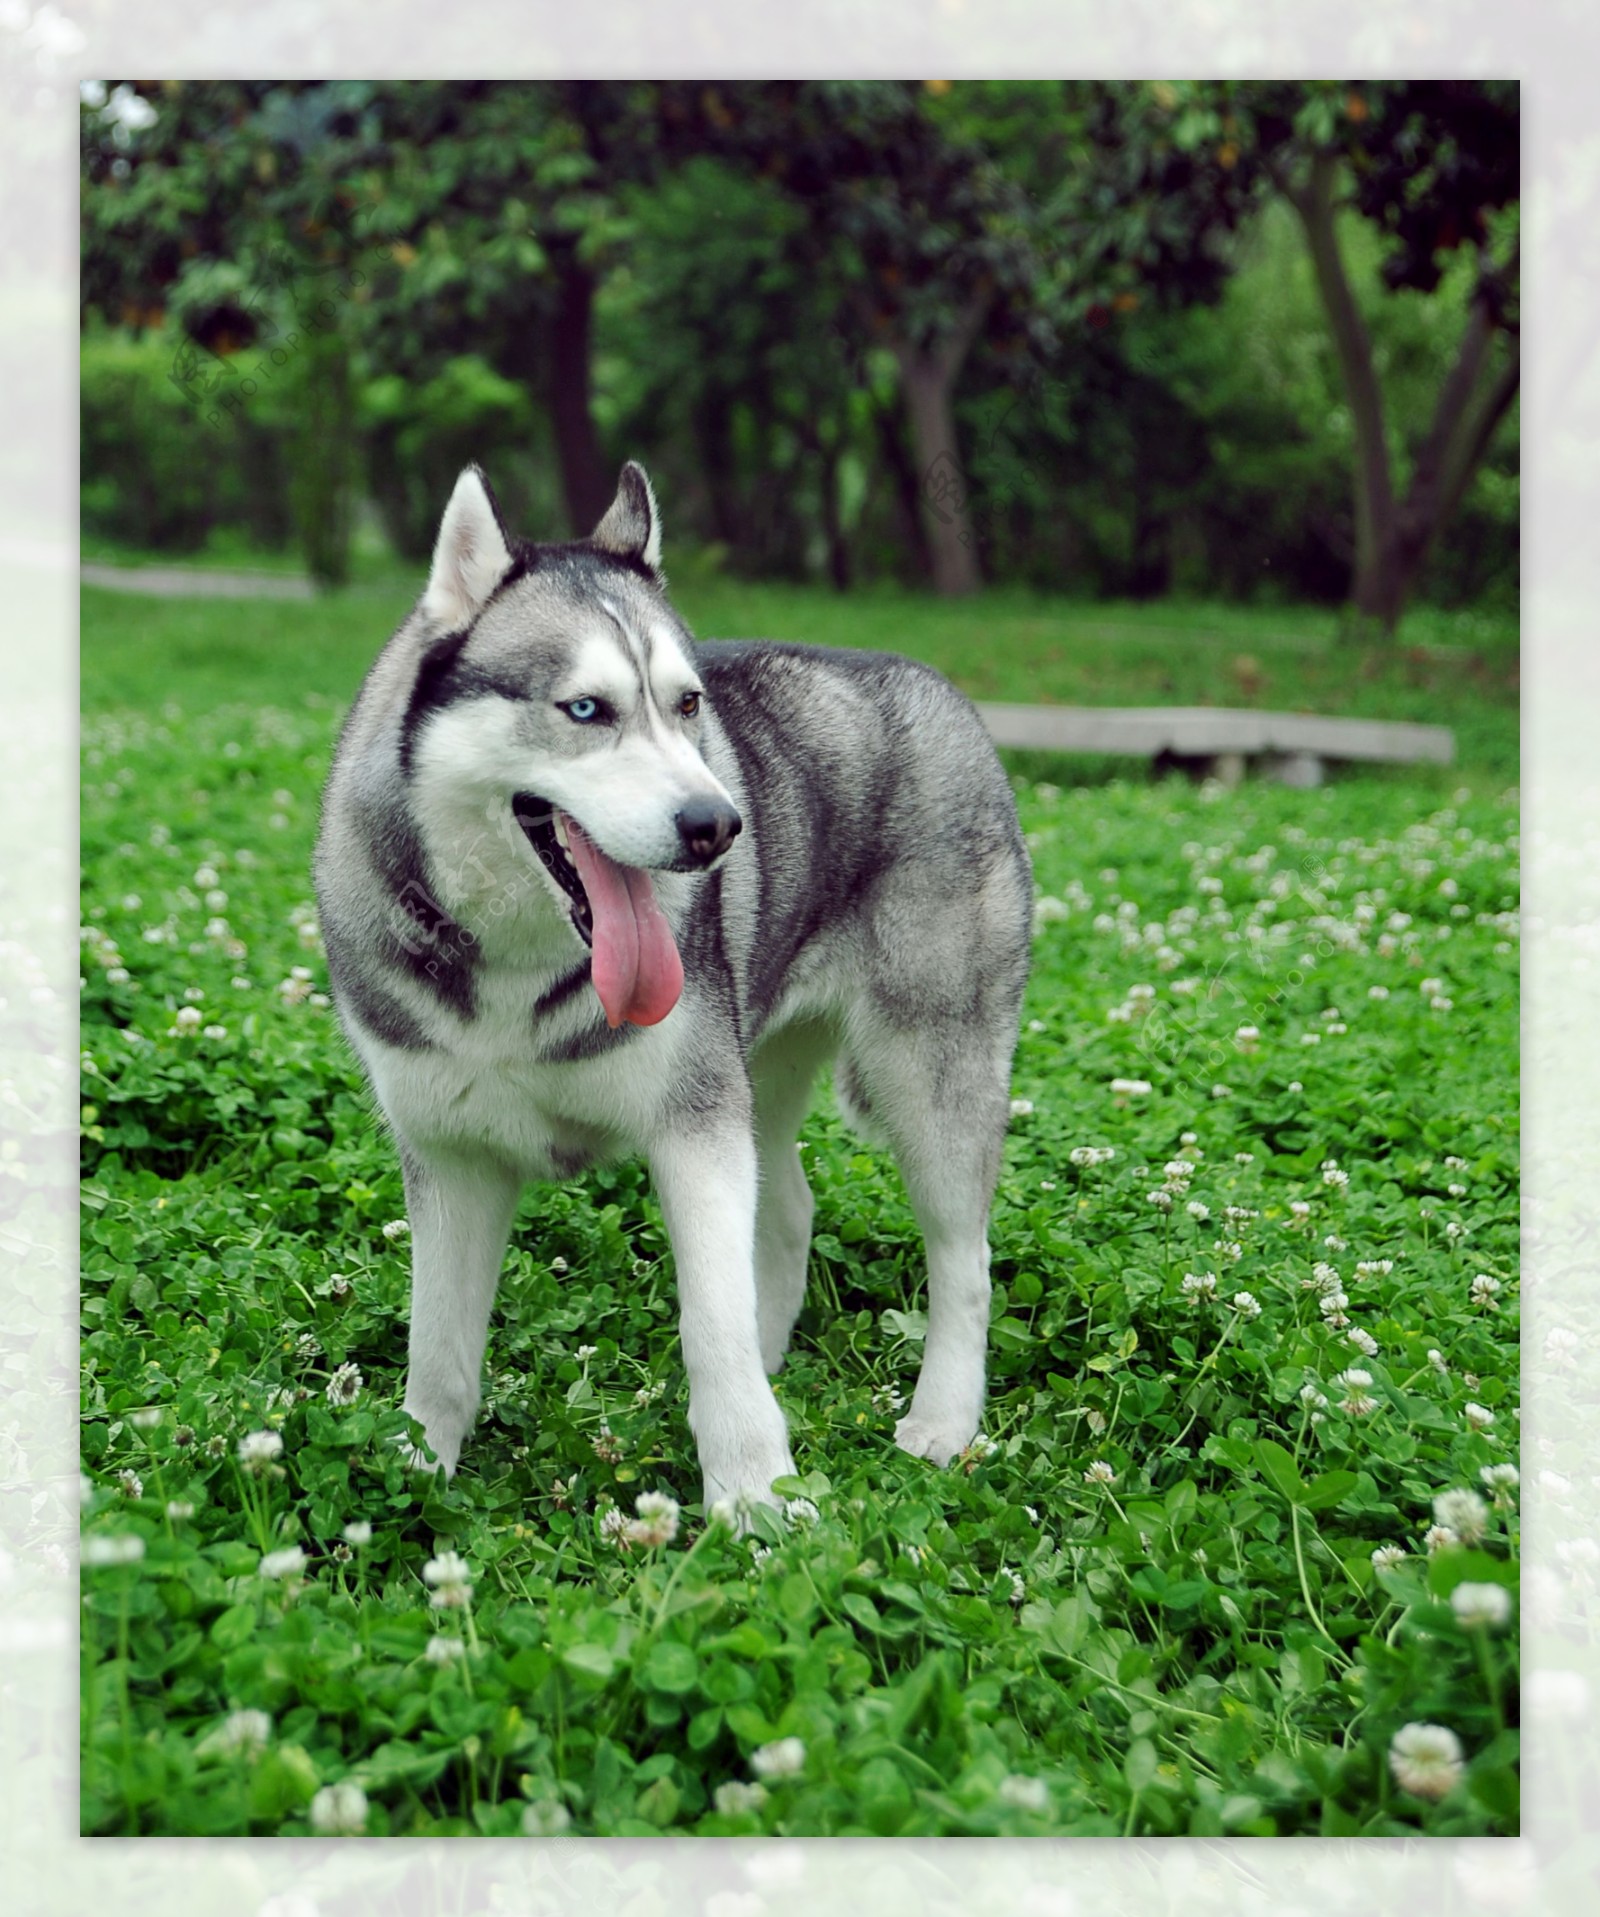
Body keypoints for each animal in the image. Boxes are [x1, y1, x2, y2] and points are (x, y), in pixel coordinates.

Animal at [320, 463, 1034, 1510]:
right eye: (586, 709)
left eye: (688, 703)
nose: (718, 825)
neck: (517, 963)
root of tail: (938, 686)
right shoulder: (451, 1154)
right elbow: (438, 1343)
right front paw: (418, 1473)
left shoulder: (695, 1129)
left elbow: (712, 1323)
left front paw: (757, 1499)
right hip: (760, 1072)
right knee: (790, 1210)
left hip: (930, 1075)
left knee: (964, 1259)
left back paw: (944, 1419)